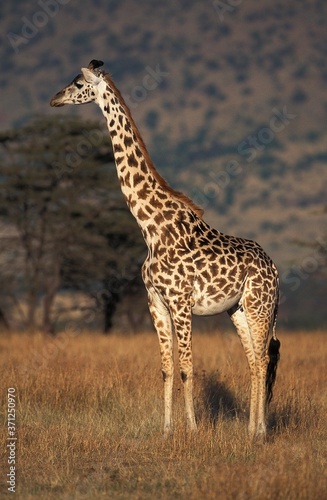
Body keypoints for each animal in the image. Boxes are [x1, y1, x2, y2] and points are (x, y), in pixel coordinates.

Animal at [50, 60, 280, 440]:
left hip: (260, 305)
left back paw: (261, 431)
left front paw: (194, 430)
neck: (151, 229)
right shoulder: (155, 302)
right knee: (252, 359)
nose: (54, 98)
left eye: (78, 83)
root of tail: (275, 267)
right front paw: (168, 430)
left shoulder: (181, 303)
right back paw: (249, 430)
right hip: (237, 309)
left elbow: (187, 366)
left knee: (263, 357)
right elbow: (167, 368)